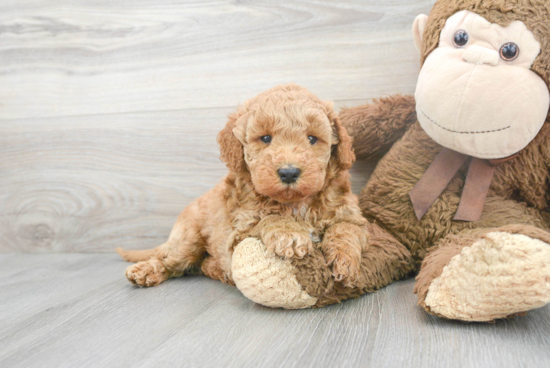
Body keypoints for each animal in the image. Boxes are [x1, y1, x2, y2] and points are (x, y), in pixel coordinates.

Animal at [119, 84, 370, 290]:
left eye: (312, 139)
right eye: (266, 138)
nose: (289, 172)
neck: (295, 204)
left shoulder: (351, 214)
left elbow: (346, 228)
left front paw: (345, 261)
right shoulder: (238, 233)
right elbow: (267, 218)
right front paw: (289, 233)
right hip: (187, 239)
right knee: (171, 260)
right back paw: (146, 271)